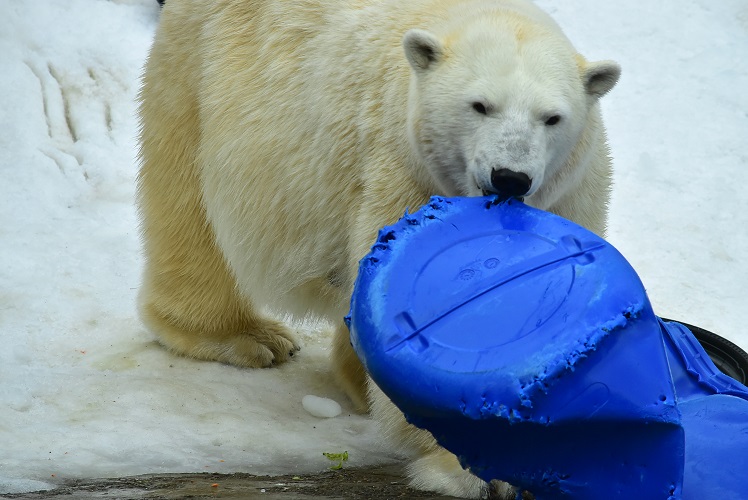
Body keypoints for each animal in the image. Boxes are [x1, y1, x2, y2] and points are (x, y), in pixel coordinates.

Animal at [139, 0, 620, 496]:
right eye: (480, 106)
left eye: (552, 118)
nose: (510, 177)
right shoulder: (404, 174)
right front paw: (471, 467)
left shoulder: (569, 193)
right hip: (199, 70)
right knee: (186, 195)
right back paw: (245, 337)